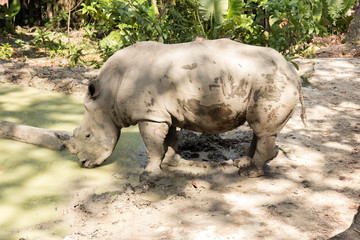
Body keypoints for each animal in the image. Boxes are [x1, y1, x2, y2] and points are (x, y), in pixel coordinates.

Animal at [57, 39, 306, 180]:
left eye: (87, 136)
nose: (83, 164)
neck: (107, 95)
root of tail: (292, 69)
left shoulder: (149, 115)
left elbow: (152, 145)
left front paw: (148, 176)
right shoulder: (161, 113)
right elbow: (169, 139)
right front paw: (171, 163)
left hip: (272, 81)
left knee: (263, 129)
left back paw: (249, 173)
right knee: (259, 128)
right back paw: (242, 163)